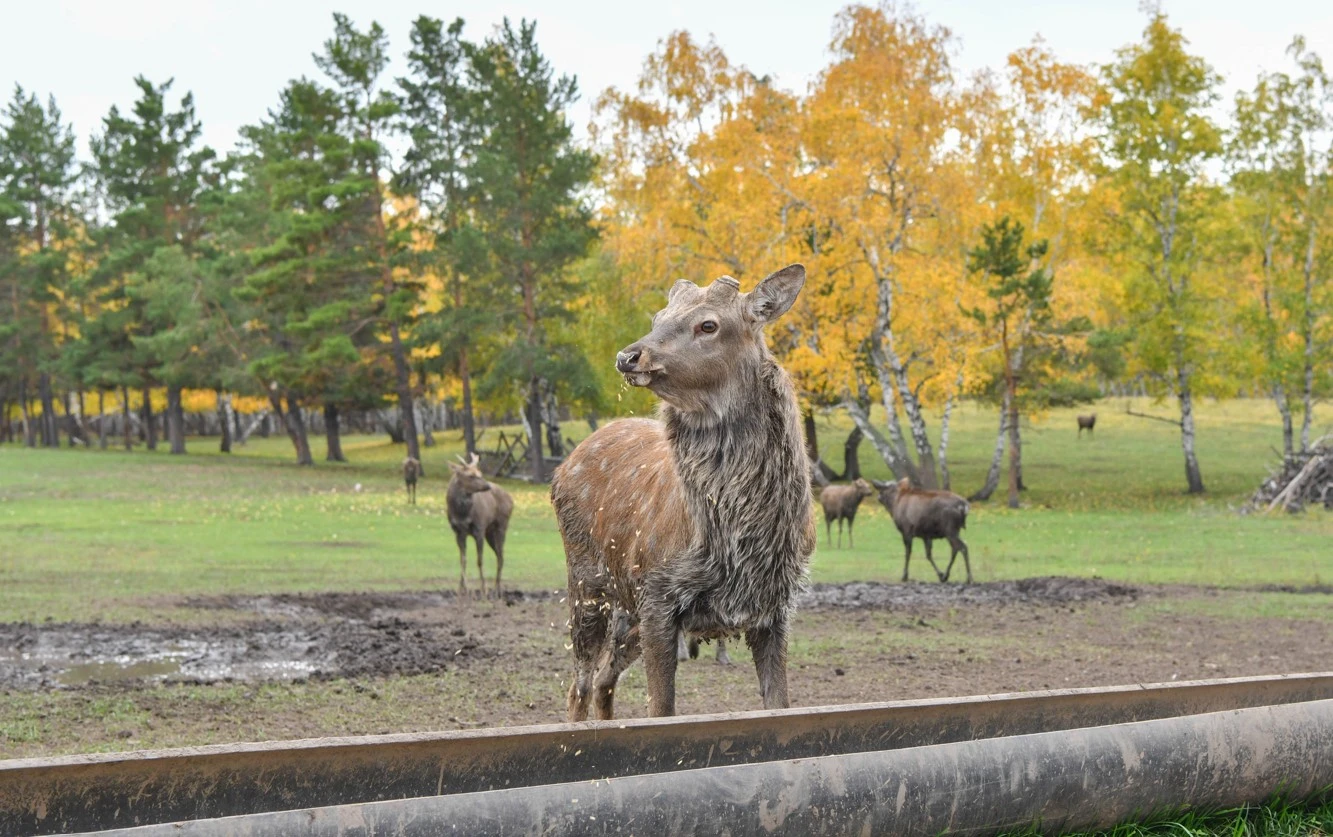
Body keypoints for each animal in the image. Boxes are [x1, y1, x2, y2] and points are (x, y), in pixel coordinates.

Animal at [445, 453, 511, 597]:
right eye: (470, 475)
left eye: (479, 473)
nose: (487, 486)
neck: (462, 513)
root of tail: (511, 498)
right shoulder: (458, 531)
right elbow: (463, 560)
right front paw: (461, 589)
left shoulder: (479, 528)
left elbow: (479, 560)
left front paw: (484, 589)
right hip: (489, 532)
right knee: (499, 554)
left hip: (501, 525)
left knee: (501, 556)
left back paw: (497, 589)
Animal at [549, 266, 815, 719]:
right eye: (658, 317)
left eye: (708, 324)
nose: (628, 356)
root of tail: (562, 466)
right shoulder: (658, 591)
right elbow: (662, 710)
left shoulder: (775, 607)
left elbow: (778, 702)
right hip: (587, 579)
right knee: (579, 684)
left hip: (628, 606)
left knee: (603, 679)